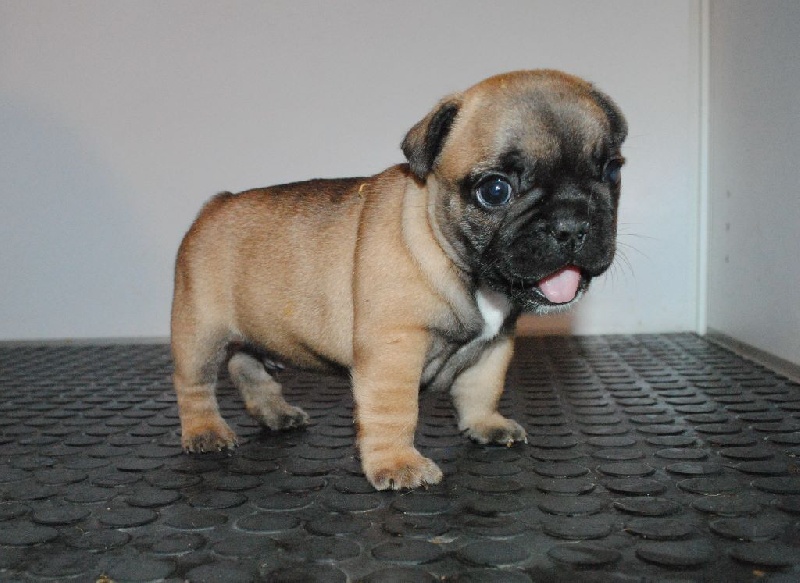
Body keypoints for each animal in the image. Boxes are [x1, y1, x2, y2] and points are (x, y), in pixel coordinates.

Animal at [171, 70, 627, 490]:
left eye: (611, 172)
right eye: (495, 190)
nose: (571, 224)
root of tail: (216, 205)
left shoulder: (495, 346)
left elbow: (481, 388)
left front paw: (486, 424)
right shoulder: (395, 347)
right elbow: (394, 410)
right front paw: (397, 464)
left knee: (247, 367)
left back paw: (276, 414)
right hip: (200, 333)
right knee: (195, 385)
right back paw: (206, 432)